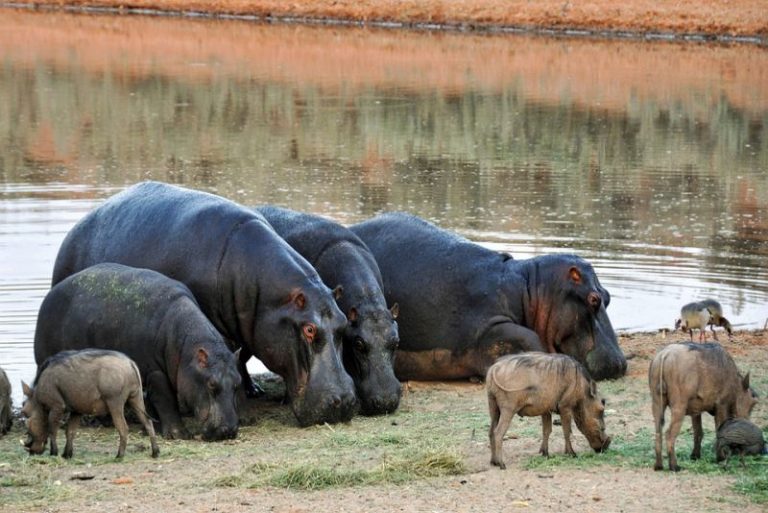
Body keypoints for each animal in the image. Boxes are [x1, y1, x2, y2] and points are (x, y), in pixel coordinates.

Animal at [22, 349, 159, 459]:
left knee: (123, 428)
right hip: (136, 398)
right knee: (148, 423)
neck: (37, 398)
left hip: (115, 402)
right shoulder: (76, 410)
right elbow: (70, 431)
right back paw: (155, 453)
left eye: (25, 412)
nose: (31, 452)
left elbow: (53, 430)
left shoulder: (57, 406)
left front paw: (54, 453)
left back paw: (119, 456)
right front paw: (66, 455)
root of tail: (130, 362)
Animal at [35, 263, 241, 440]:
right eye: (212, 384)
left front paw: (151, 429)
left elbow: (150, 403)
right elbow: (165, 400)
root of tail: (50, 293)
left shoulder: (146, 373)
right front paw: (178, 435)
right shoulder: (155, 371)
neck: (187, 349)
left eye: (238, 382)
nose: (229, 430)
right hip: (47, 360)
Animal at [52, 182, 356, 427]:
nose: (345, 401)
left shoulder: (245, 325)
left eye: (343, 323)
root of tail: (74, 230)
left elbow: (238, 359)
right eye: (309, 329)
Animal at [350, 213, 626, 381]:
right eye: (593, 299)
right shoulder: (489, 326)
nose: (621, 363)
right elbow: (529, 337)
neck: (531, 291)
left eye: (608, 296)